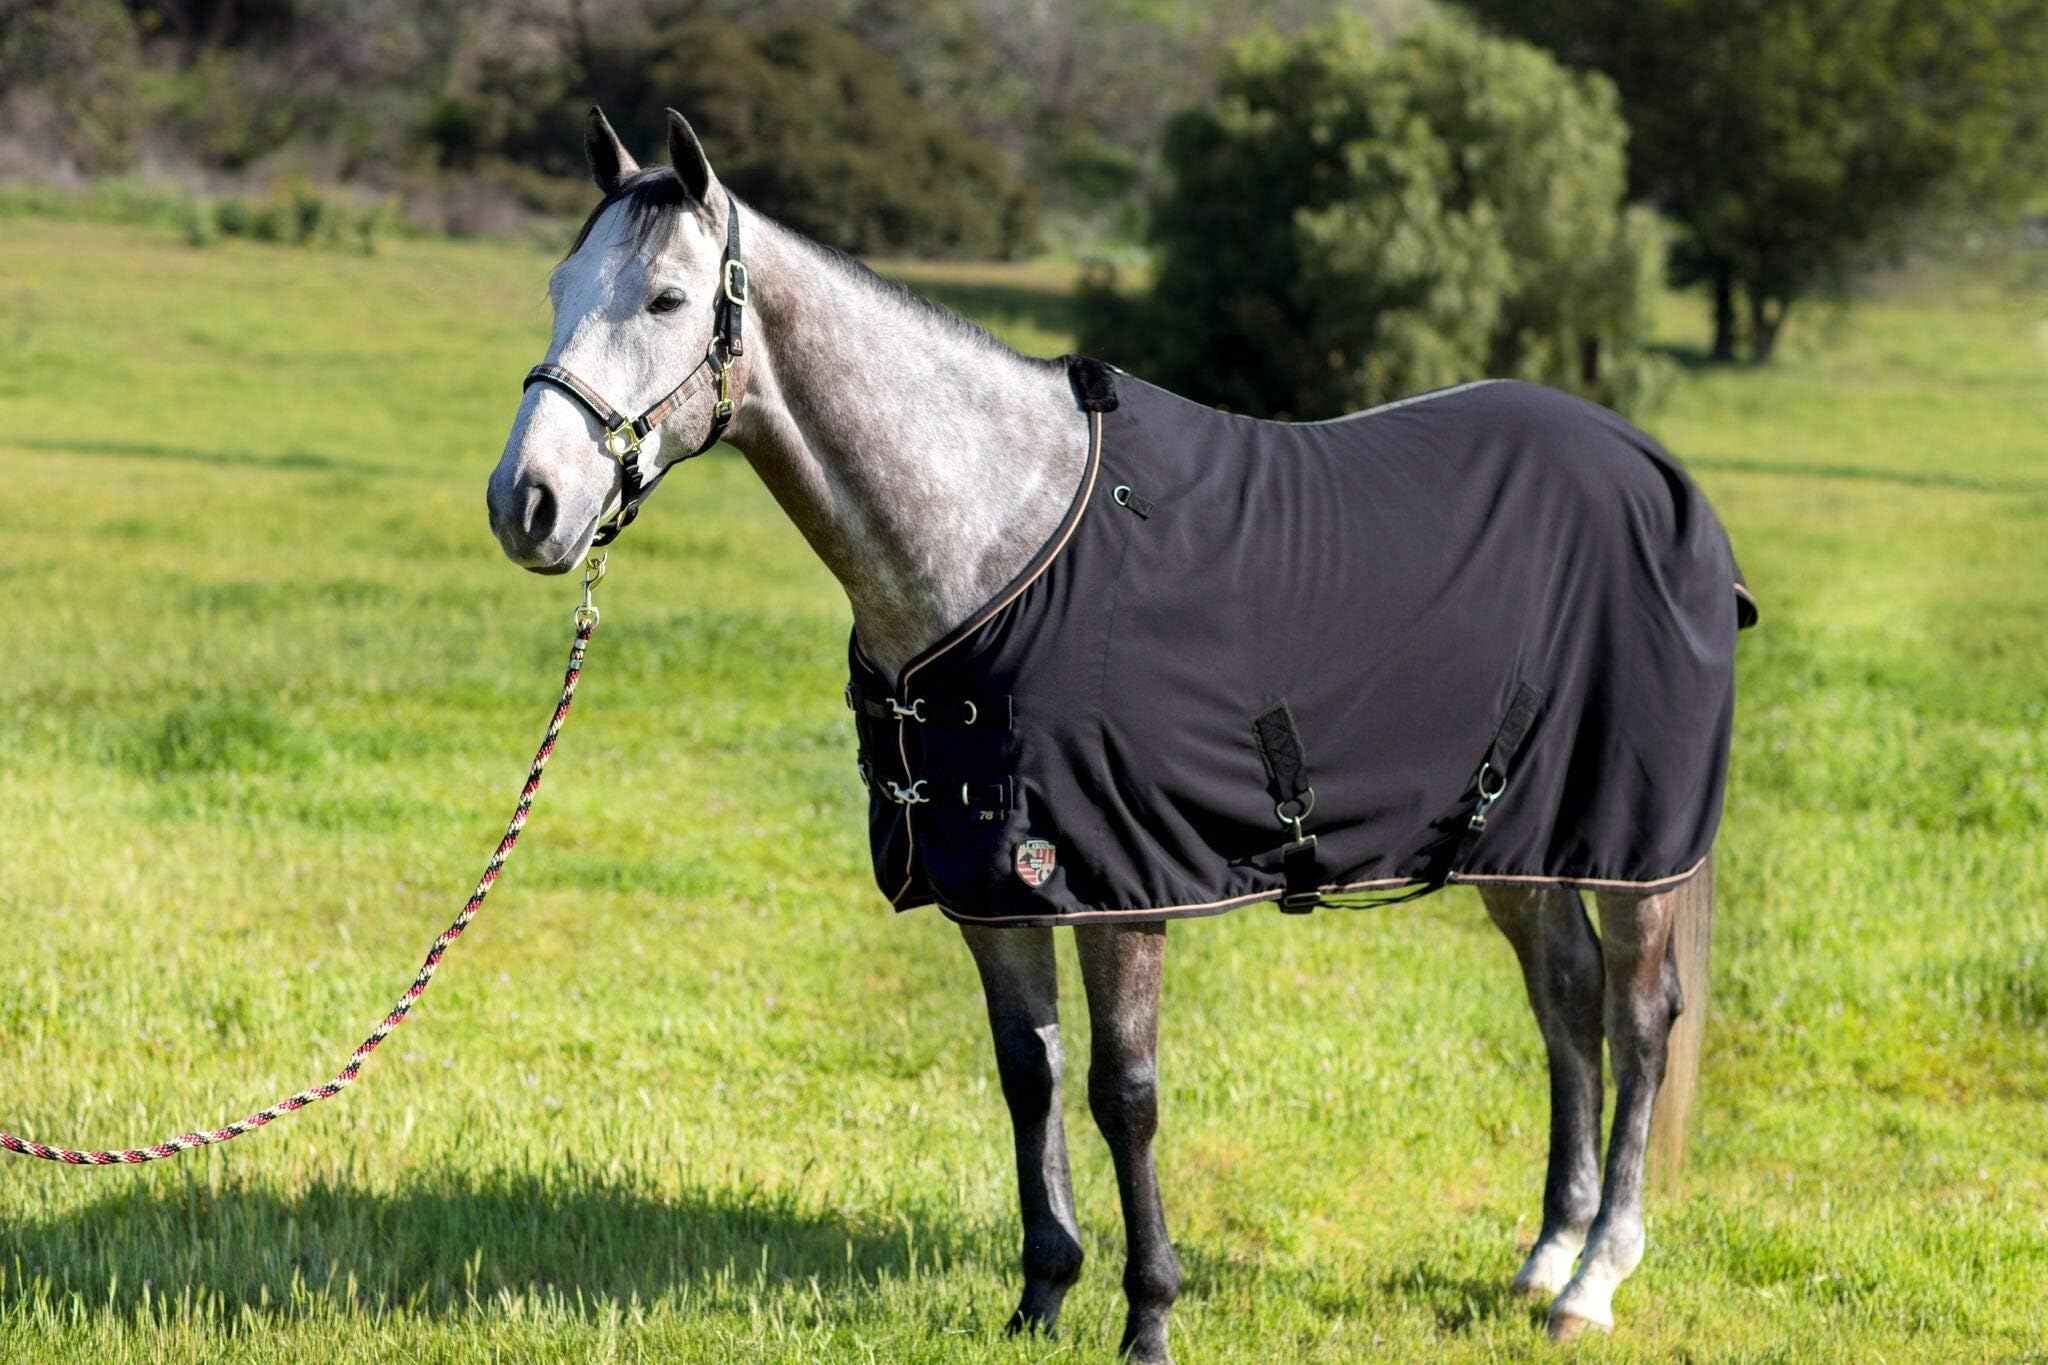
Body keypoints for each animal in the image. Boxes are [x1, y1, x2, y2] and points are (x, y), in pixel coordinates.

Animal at [486, 107, 1751, 1360]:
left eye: (664, 299)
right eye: (556, 284)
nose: (526, 504)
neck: (1001, 537)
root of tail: (1657, 475)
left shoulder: (1119, 886)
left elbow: (1122, 1093)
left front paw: (1147, 1317)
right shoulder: (992, 883)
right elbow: (1029, 1076)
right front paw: (1041, 1296)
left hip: (1633, 849)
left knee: (1639, 1019)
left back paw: (1593, 1278)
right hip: (1520, 839)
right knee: (1566, 999)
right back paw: (1542, 1257)